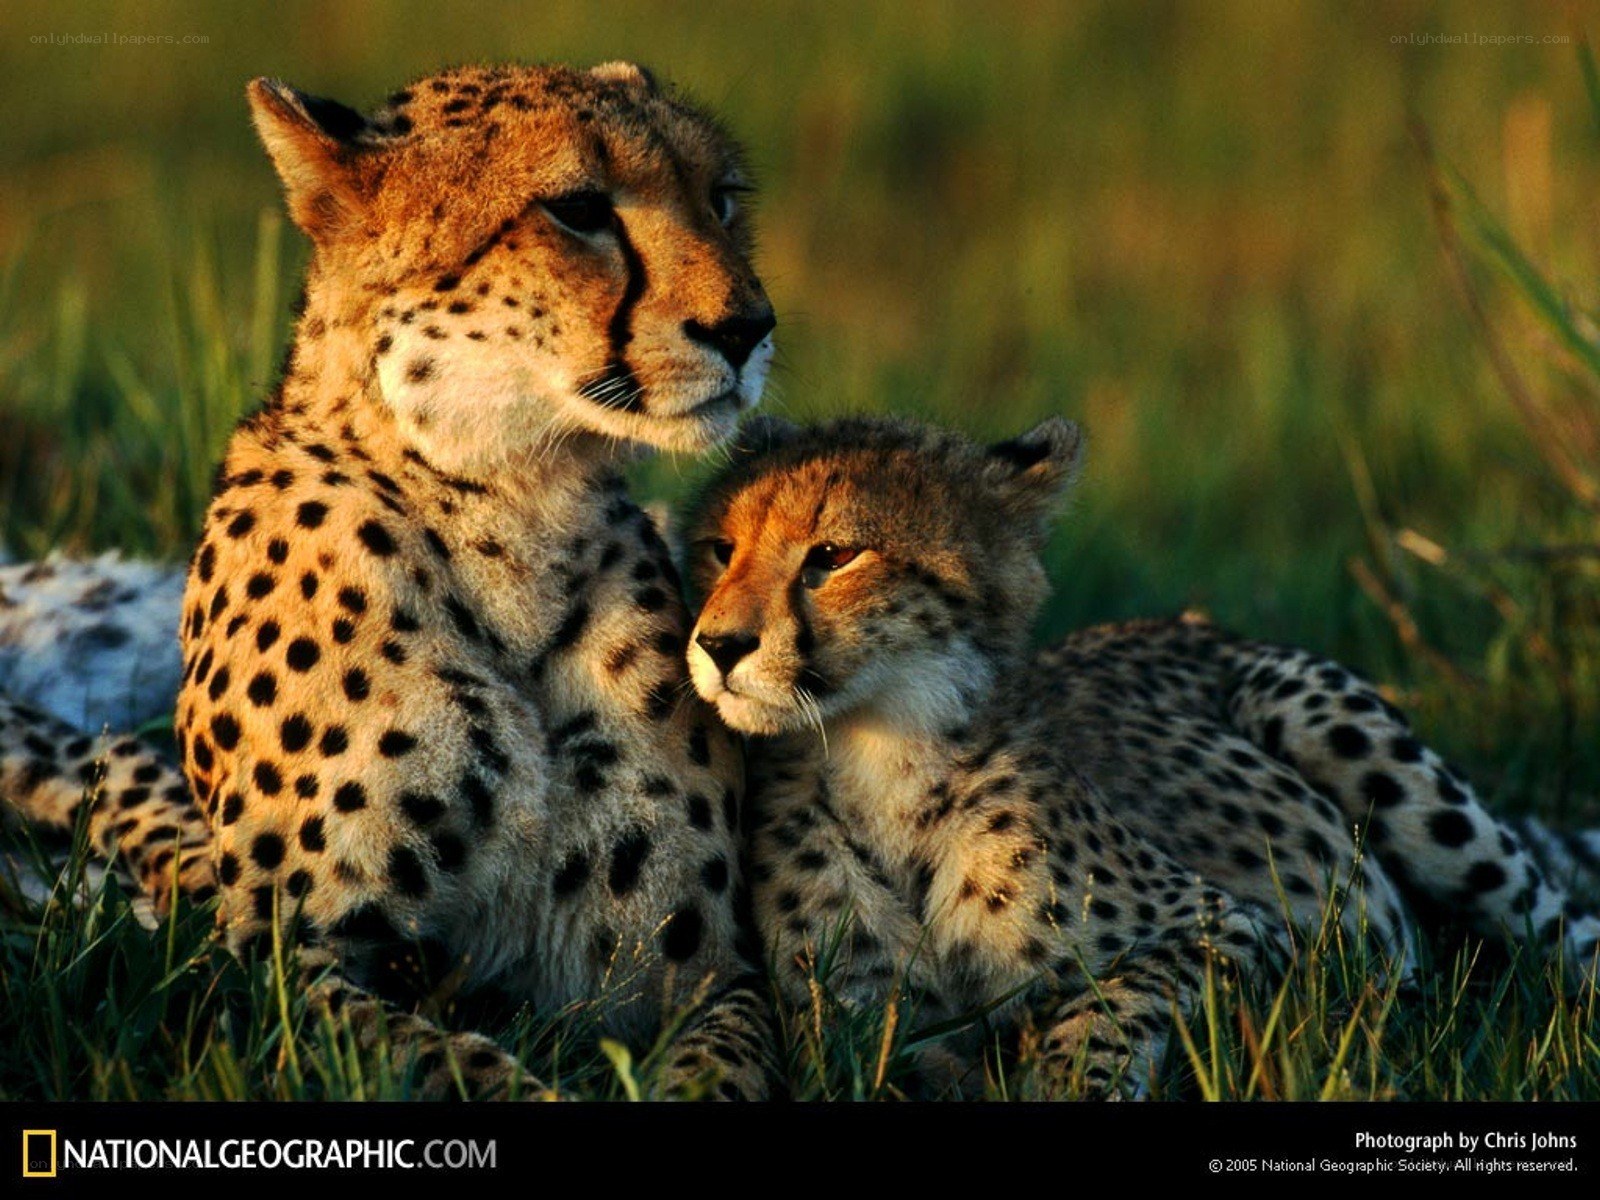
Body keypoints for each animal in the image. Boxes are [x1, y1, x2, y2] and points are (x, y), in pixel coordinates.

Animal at [0, 61, 778, 1100]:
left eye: (721, 199)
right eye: (578, 209)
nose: (748, 327)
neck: (516, 508)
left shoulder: (704, 972)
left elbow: (724, 1067)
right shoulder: (281, 972)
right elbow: (452, 1061)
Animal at [683, 413, 1600, 1098]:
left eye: (834, 556)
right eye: (721, 550)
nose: (719, 645)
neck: (878, 754)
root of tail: (1191, 623)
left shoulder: (1255, 938)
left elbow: (1114, 1001)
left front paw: (1067, 1078)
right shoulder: (855, 1030)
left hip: (1343, 735)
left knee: (1560, 927)